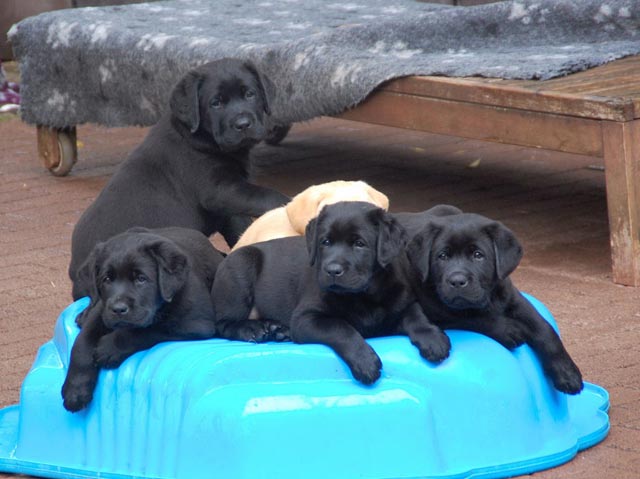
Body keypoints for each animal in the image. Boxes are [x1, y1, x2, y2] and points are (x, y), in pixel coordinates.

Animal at [62, 227, 224, 412]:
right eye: (107, 279)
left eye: (141, 279)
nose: (118, 309)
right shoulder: (103, 309)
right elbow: (81, 343)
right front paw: (75, 390)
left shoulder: (196, 323)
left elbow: (147, 330)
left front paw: (108, 348)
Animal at [69, 58, 289, 299]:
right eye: (216, 103)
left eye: (250, 94)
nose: (243, 124)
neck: (200, 137)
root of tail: (74, 276)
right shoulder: (219, 189)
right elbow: (267, 195)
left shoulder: (229, 204)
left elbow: (240, 227)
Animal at [212, 201, 451, 385]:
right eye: (325, 242)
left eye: (359, 244)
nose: (332, 270)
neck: (363, 295)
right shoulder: (306, 318)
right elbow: (341, 328)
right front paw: (366, 361)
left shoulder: (400, 301)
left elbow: (416, 315)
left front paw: (433, 340)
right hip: (241, 265)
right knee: (222, 324)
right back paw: (252, 329)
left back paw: (276, 329)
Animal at [405, 212, 584, 394]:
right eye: (442, 256)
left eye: (478, 255)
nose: (457, 281)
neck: (487, 299)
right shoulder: (440, 314)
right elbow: (476, 319)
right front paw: (510, 329)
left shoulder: (513, 298)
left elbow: (544, 328)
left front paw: (567, 373)